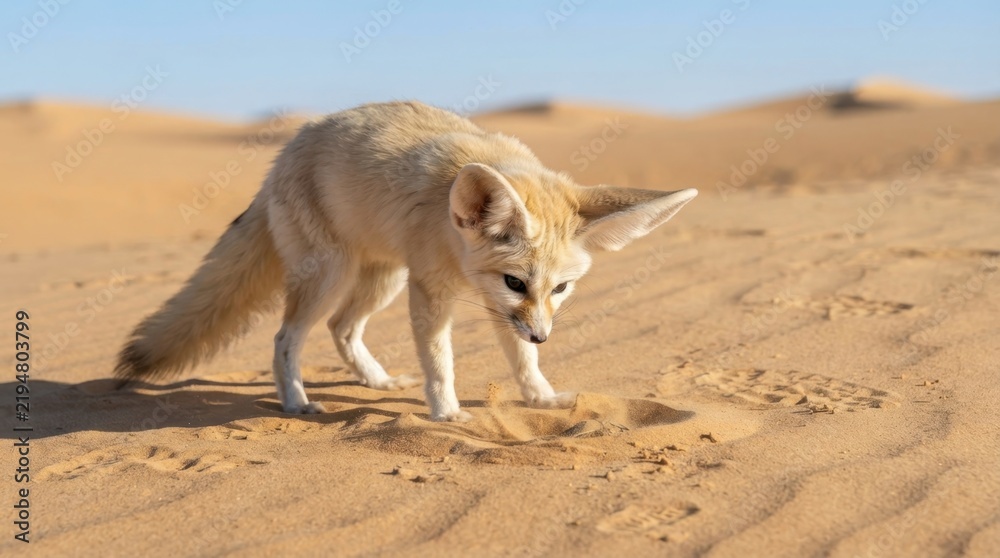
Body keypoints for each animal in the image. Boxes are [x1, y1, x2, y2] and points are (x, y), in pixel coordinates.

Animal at [114, 101, 697, 422]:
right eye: (516, 281)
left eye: (561, 289)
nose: (544, 336)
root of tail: (284, 152)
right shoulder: (436, 291)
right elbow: (440, 362)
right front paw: (445, 413)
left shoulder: (497, 309)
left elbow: (522, 362)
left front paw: (540, 398)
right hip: (333, 274)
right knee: (286, 338)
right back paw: (296, 402)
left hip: (381, 279)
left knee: (342, 328)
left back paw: (374, 382)